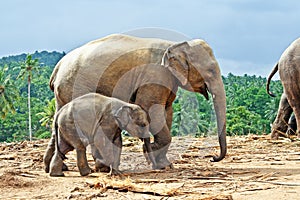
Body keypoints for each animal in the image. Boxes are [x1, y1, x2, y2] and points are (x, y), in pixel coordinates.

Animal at [45, 33, 226, 170]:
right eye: (210, 71)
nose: (212, 157)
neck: (174, 44)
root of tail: (57, 68)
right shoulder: (155, 75)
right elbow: (152, 109)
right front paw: (155, 157)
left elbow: (167, 111)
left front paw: (164, 163)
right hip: (75, 86)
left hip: (63, 92)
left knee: (57, 122)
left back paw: (55, 168)